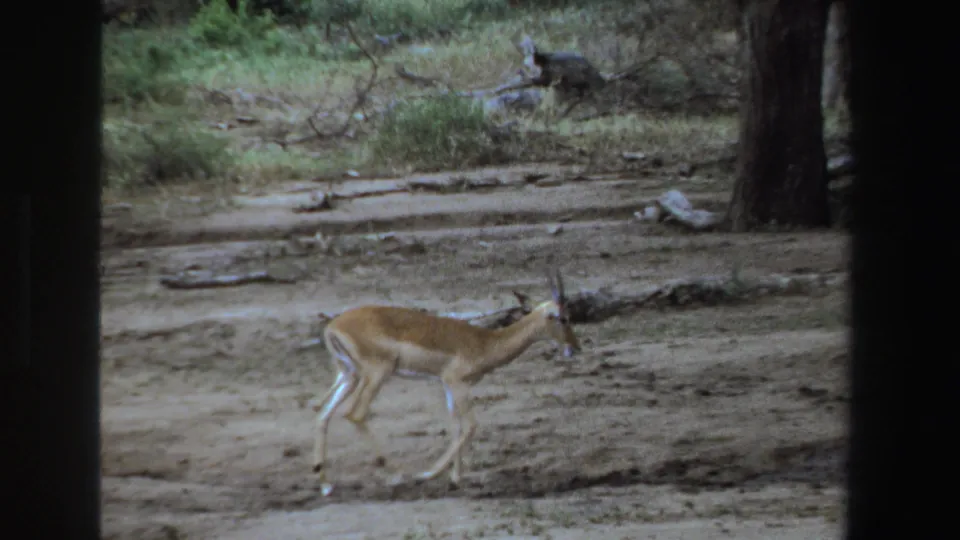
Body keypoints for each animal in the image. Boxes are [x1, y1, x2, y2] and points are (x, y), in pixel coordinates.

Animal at [311, 270, 581, 496]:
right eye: (563, 318)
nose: (575, 348)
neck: (485, 342)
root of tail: (333, 326)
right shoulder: (457, 382)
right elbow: (471, 426)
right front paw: (429, 473)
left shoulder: (447, 384)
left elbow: (456, 426)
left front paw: (455, 479)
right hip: (377, 375)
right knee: (355, 414)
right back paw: (398, 474)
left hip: (350, 376)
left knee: (324, 414)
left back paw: (325, 484)